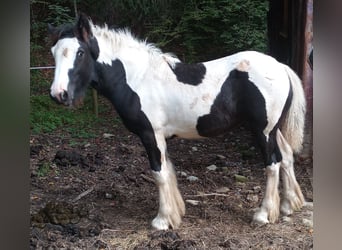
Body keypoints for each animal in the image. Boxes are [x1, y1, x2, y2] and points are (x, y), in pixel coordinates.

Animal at [46, 13, 306, 229]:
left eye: (80, 53)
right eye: (54, 53)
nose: (59, 94)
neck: (136, 78)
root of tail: (280, 66)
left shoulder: (150, 134)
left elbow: (159, 173)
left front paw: (162, 220)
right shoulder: (160, 137)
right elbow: (168, 171)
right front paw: (175, 213)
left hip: (262, 130)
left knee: (272, 164)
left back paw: (263, 214)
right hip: (274, 129)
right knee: (286, 157)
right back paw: (288, 205)